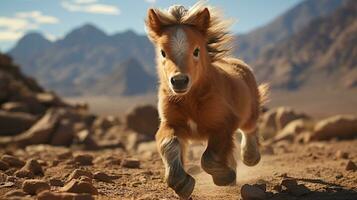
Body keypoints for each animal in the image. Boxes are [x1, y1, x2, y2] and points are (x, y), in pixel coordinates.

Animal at [145, 2, 268, 199]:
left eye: (196, 50)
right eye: (163, 52)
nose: (179, 81)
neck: (190, 100)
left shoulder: (223, 123)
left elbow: (209, 158)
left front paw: (224, 176)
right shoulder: (170, 124)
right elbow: (168, 144)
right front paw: (182, 183)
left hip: (250, 112)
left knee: (250, 129)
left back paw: (250, 157)